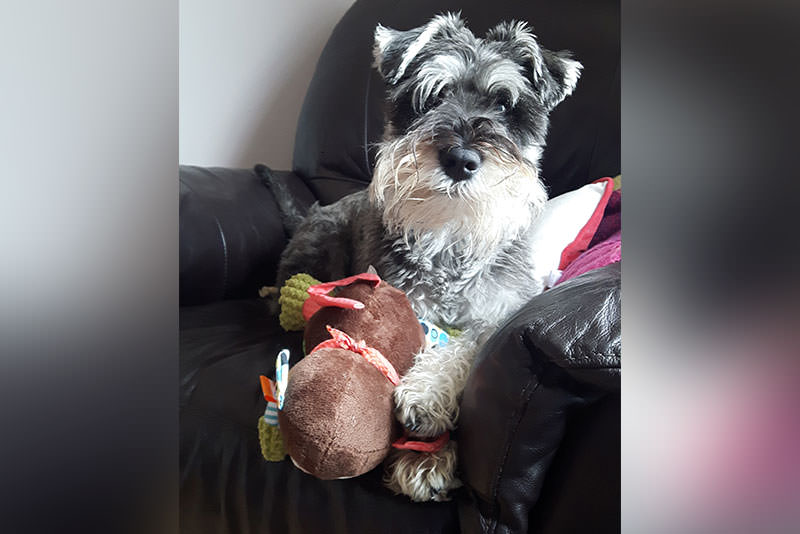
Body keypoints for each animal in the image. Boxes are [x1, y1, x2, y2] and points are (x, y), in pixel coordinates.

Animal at [270, 14, 580, 504]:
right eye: (433, 95)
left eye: (506, 105)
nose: (461, 159)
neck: (451, 239)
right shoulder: (405, 306)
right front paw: (425, 454)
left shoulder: (499, 310)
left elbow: (468, 345)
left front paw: (427, 402)